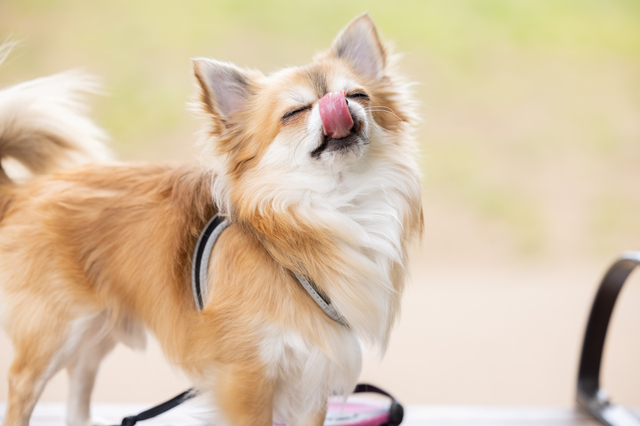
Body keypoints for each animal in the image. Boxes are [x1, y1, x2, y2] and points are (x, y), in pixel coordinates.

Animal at [1, 13, 424, 426]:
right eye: (294, 113)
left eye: (358, 95)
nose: (337, 105)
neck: (334, 208)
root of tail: (25, 190)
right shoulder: (244, 378)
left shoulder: (311, 377)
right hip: (56, 334)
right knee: (22, 389)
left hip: (98, 326)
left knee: (80, 380)